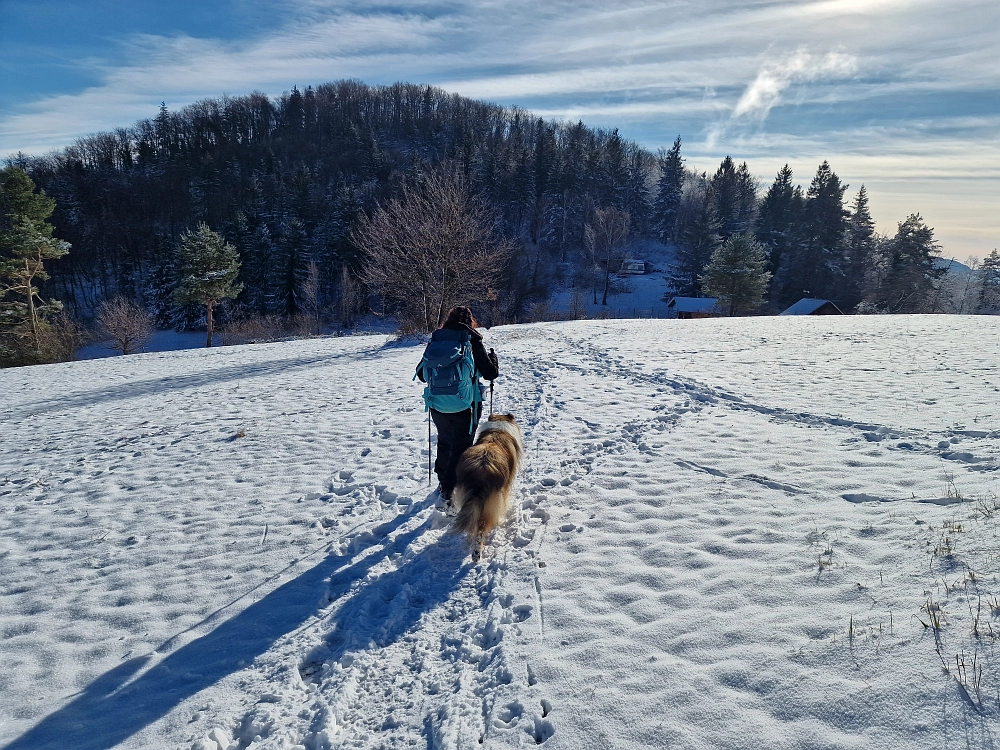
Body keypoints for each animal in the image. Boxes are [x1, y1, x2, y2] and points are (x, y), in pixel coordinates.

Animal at [454, 414, 524, 560]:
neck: (497, 429)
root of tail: (481, 472)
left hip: (467, 499)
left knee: (472, 524)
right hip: (490, 503)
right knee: (481, 528)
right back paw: (476, 553)